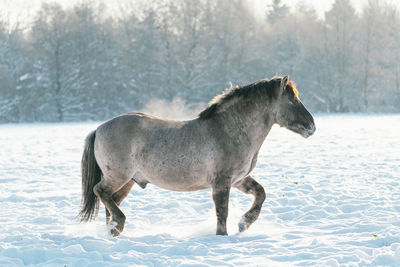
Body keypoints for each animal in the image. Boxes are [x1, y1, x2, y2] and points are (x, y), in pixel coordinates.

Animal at [78, 75, 316, 237]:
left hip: (128, 181)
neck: (230, 129)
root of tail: (99, 128)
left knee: (111, 200)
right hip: (118, 176)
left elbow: (261, 193)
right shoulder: (221, 182)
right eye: (293, 100)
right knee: (100, 192)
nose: (312, 127)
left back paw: (113, 230)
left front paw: (244, 223)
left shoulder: (239, 179)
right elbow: (222, 212)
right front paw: (224, 235)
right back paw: (118, 224)